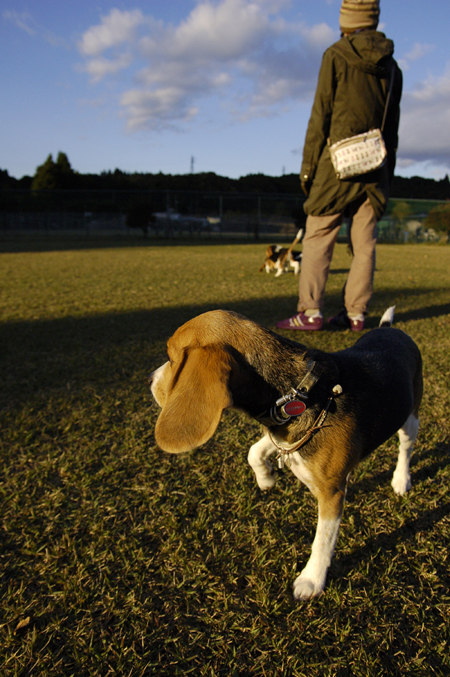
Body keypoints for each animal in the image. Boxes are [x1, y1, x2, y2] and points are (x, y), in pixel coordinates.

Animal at [150, 306, 422, 596]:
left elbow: (323, 540)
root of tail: (390, 329)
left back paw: (401, 480)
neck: (300, 391)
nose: (149, 380)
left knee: (405, 450)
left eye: (171, 358)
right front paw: (266, 479)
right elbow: (254, 452)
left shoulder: (331, 493)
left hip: (411, 419)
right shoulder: (284, 432)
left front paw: (311, 580)